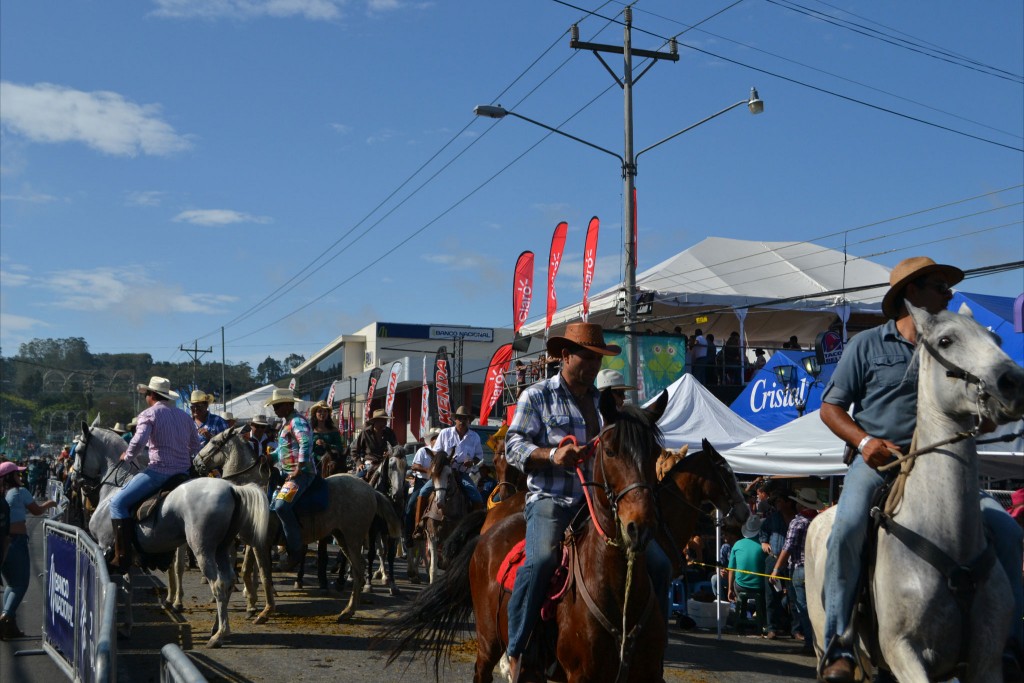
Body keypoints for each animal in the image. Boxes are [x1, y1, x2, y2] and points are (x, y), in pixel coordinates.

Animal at [70, 419, 270, 651]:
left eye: (79, 450)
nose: (74, 478)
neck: (113, 491)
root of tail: (232, 489)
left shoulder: (105, 547)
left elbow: (120, 588)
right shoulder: (129, 557)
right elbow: (128, 589)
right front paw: (127, 626)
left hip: (202, 550)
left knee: (218, 585)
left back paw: (219, 635)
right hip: (221, 548)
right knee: (228, 581)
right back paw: (215, 627)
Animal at [380, 389, 667, 683]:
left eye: (656, 453)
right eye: (609, 451)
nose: (639, 525)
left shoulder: (648, 673)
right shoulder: (581, 674)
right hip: (488, 640)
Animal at [806, 305, 1024, 683]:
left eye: (995, 338)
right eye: (946, 340)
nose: (1013, 382)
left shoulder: (987, 662)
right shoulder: (903, 652)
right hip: (824, 642)